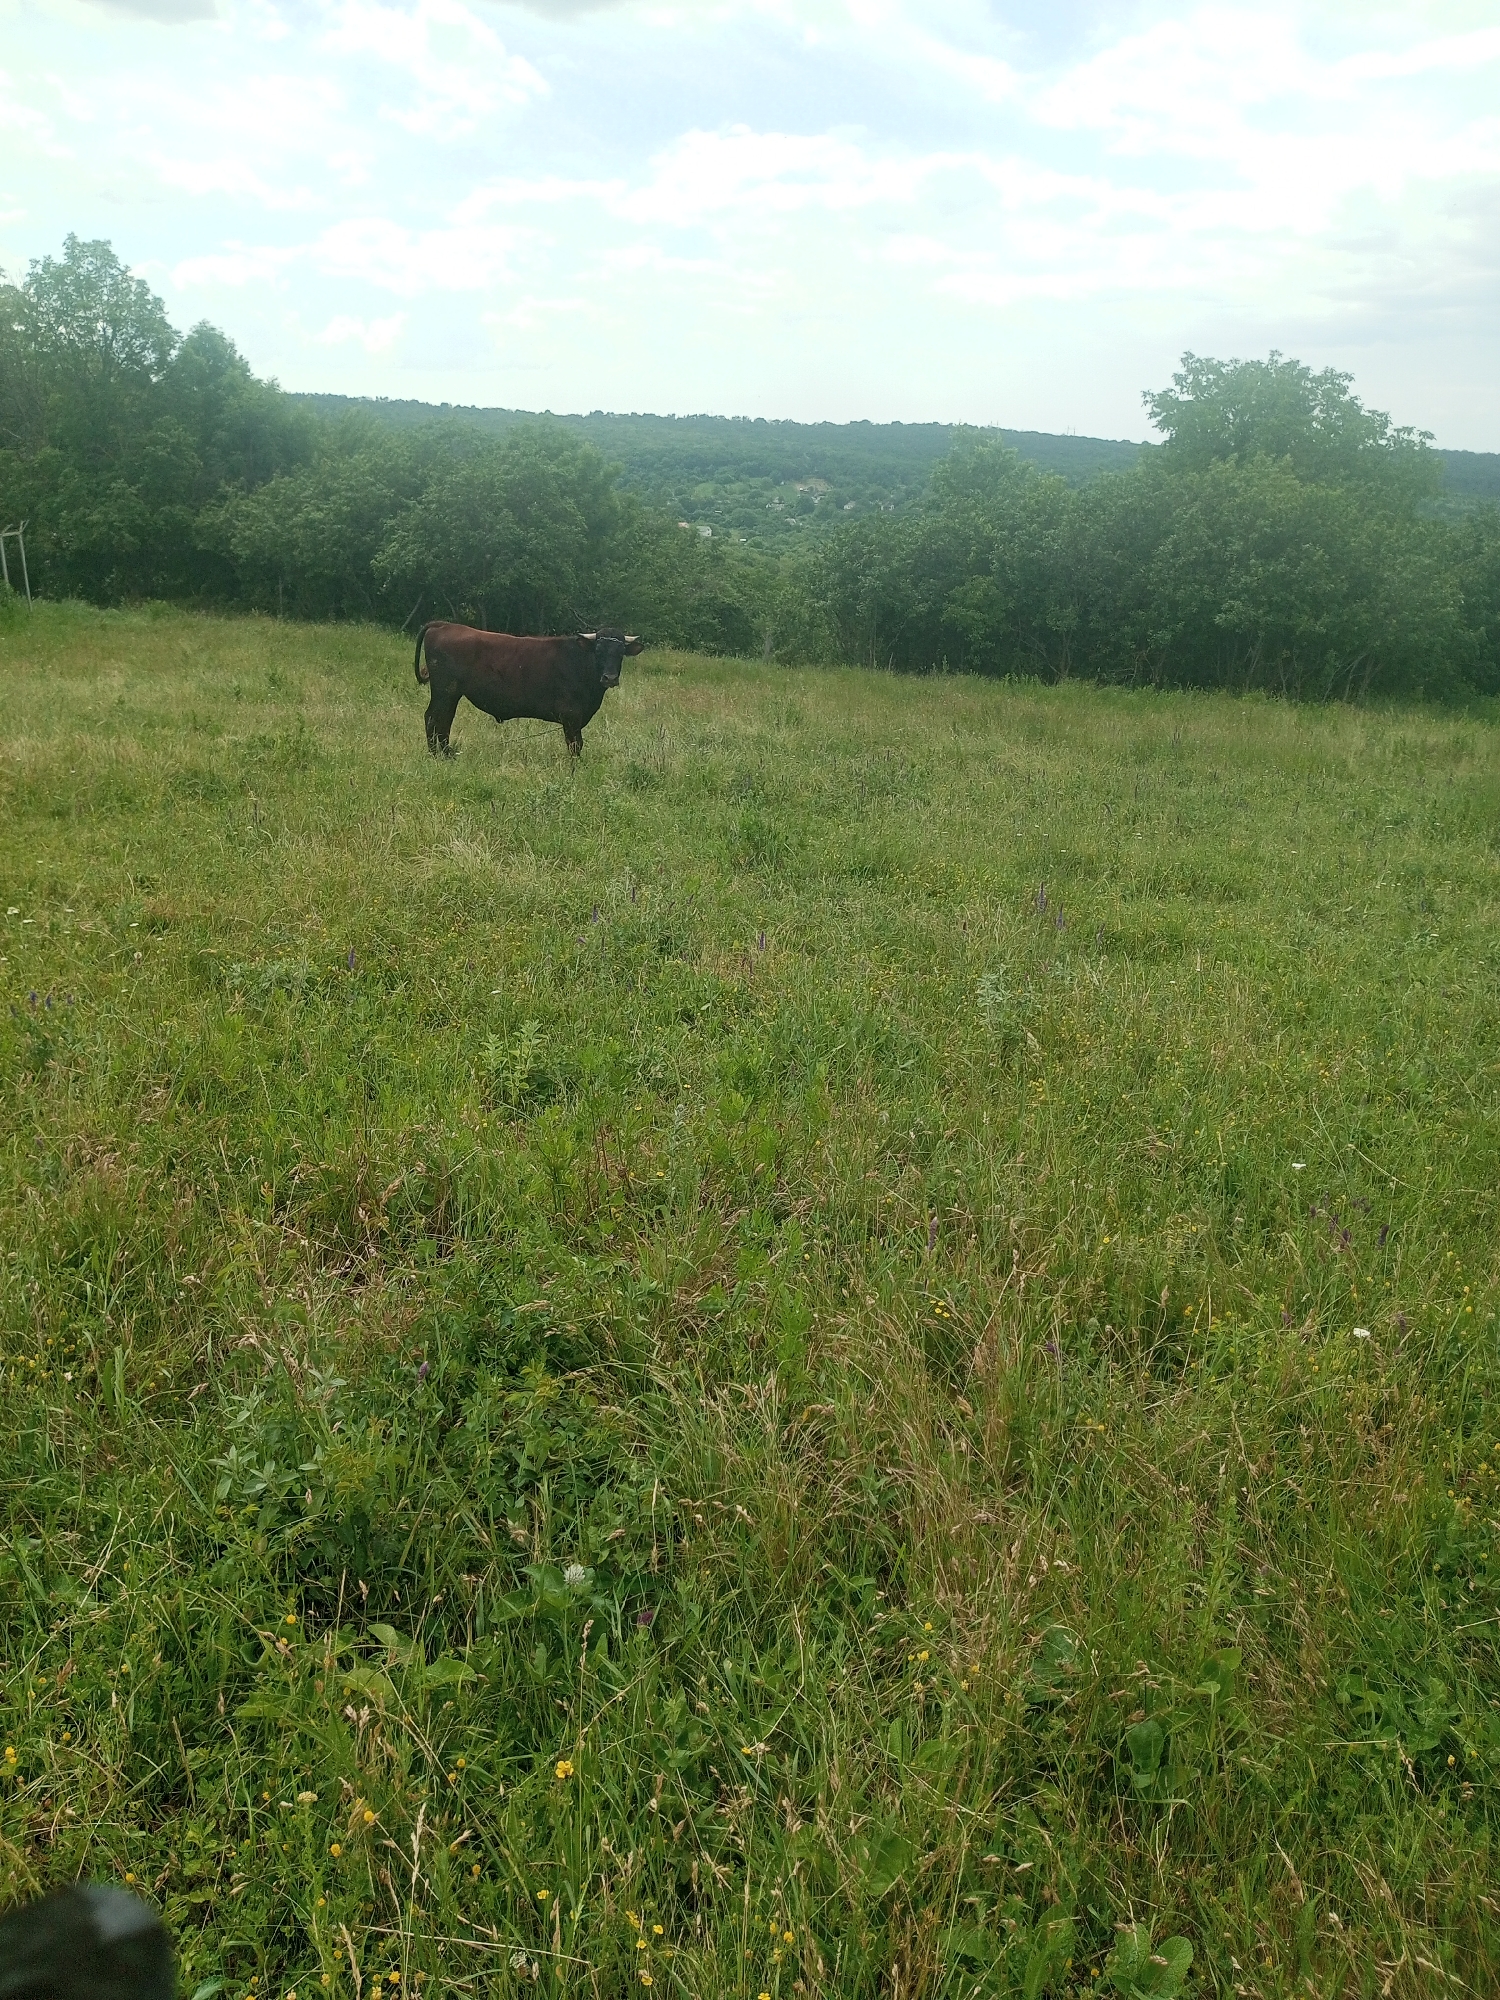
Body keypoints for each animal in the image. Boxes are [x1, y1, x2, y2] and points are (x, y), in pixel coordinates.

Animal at [413, 622, 643, 758]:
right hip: (445, 691)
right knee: (434, 718)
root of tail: (444, 624)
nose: (609, 678)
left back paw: (446, 753)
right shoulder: (571, 716)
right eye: (598, 650)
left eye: (620, 652)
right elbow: (575, 745)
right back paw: (437, 755)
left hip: (450, 693)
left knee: (443, 720)